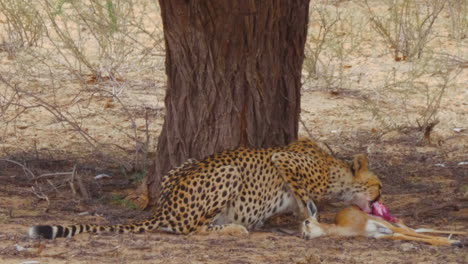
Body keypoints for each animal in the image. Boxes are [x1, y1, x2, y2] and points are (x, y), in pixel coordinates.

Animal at [29, 138, 382, 239]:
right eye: (378, 185)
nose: (380, 198)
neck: (335, 170)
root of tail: (165, 206)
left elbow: (301, 202)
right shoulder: (283, 159)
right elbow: (305, 198)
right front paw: (311, 219)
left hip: (183, 163)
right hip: (229, 171)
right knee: (190, 230)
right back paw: (234, 229)